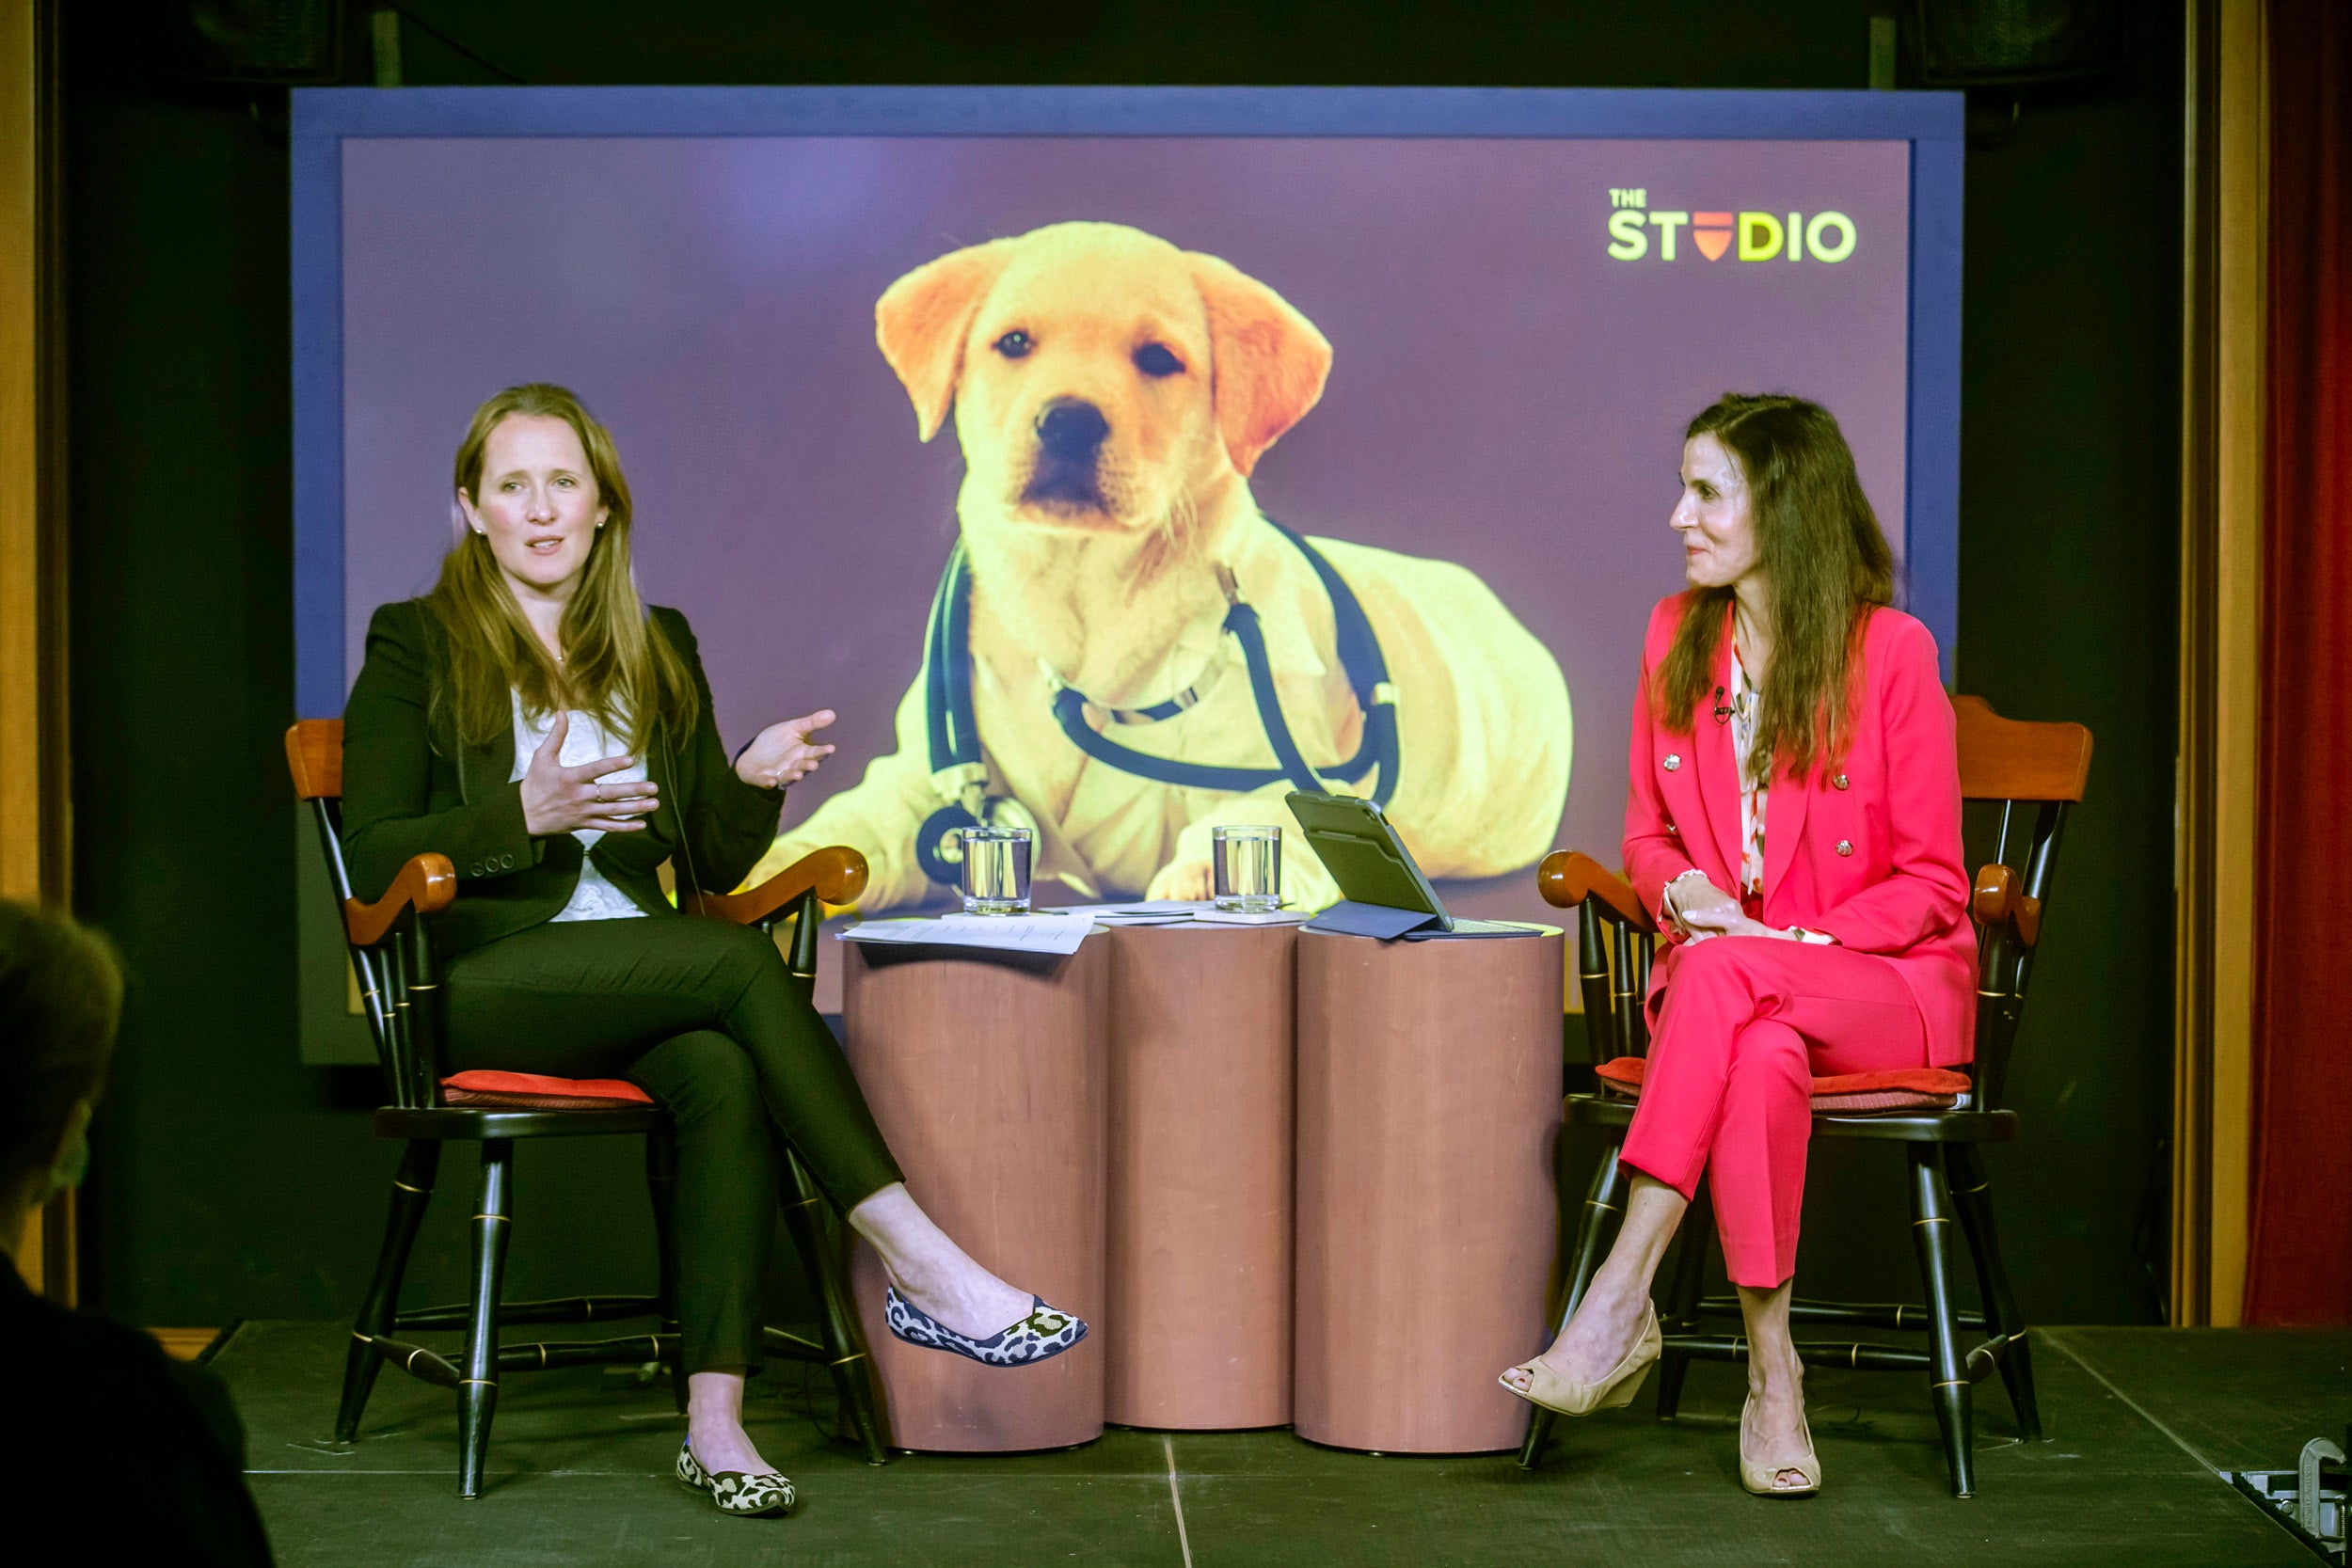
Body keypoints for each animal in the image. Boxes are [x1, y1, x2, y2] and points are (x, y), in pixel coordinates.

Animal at [748, 215, 1562, 911]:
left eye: (1159, 359)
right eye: (1013, 343)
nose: (1067, 420)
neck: (1082, 592)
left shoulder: (1289, 766)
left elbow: (1269, 814)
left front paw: (1206, 873)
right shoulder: (915, 781)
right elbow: (855, 824)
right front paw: (778, 860)